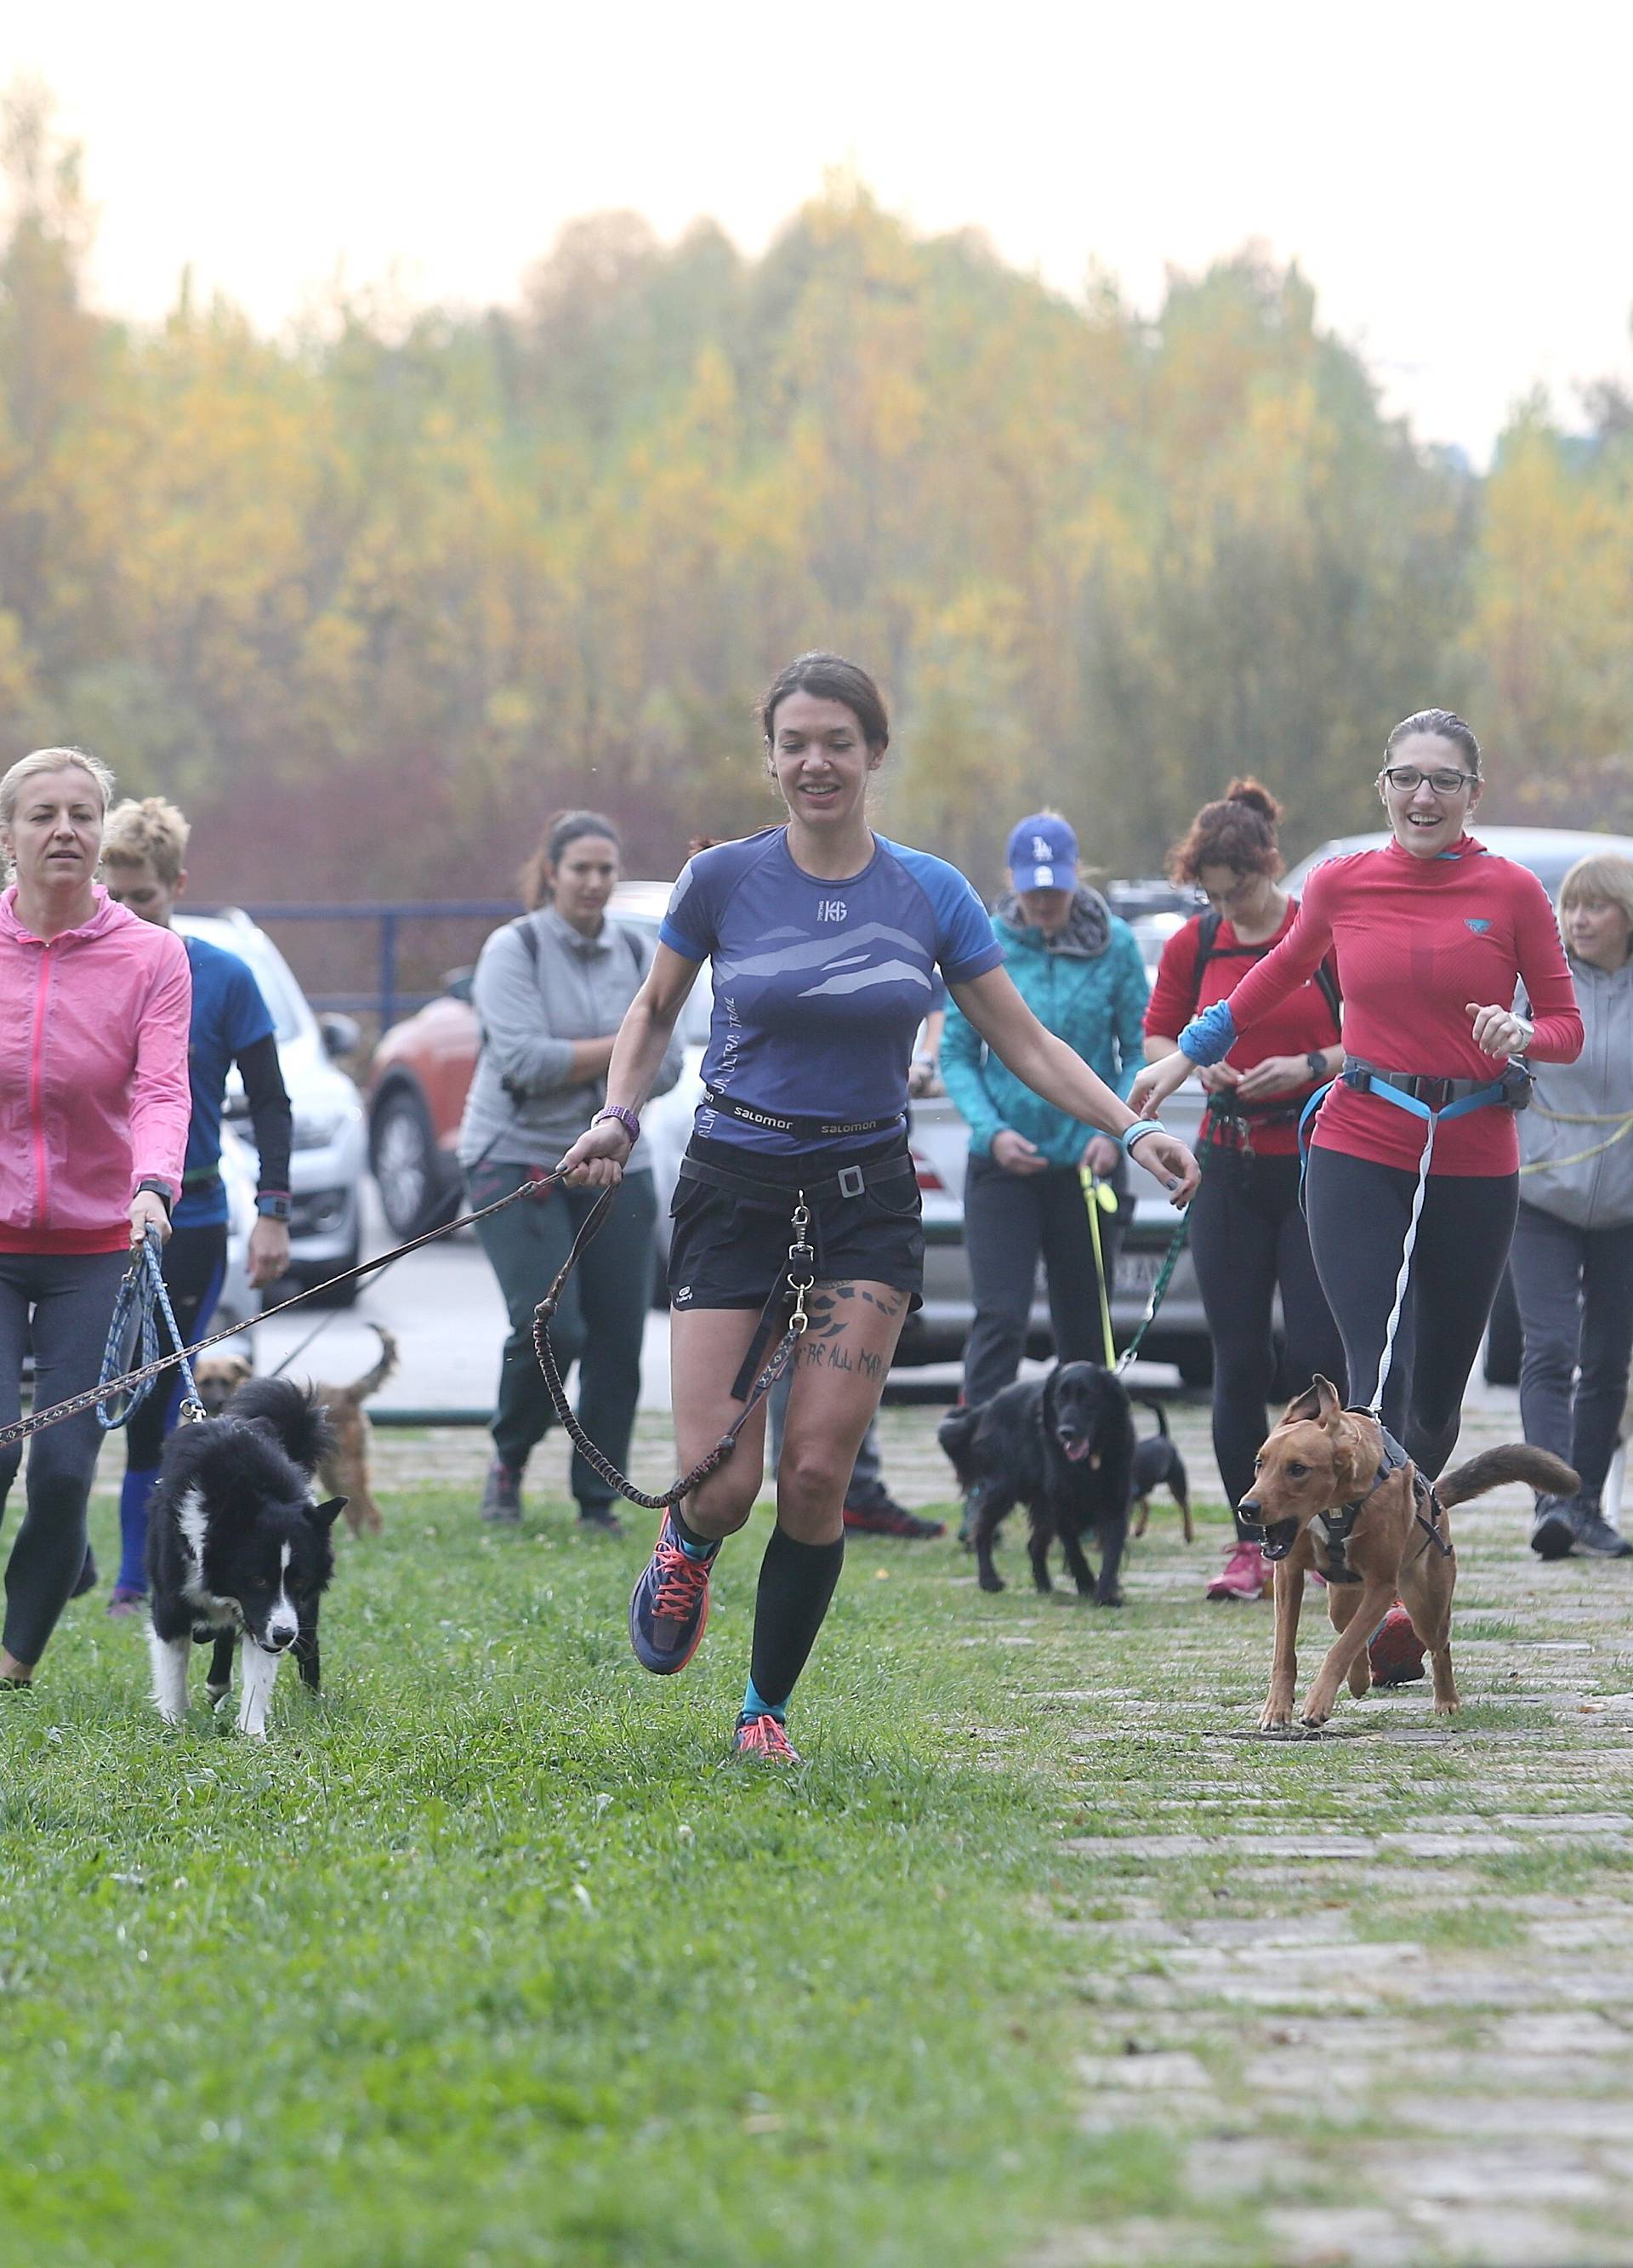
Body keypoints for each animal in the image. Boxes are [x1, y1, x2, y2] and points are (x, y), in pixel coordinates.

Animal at [147, 1360, 351, 1732]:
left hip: (303, 1615)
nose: (284, 1635)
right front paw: (174, 1724)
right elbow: (172, 1668)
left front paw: (252, 1733)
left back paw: (311, 1701)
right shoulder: (171, 1601)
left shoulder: (274, 1614)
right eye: (257, 1578)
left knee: (306, 1644)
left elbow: (259, 1672)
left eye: (300, 1580)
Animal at [188, 1324, 395, 1533]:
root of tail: (347, 1392)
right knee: (355, 1511)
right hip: (332, 1474)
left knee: (371, 1512)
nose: (219, 1401)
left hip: (343, 1469)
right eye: (205, 1382)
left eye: (225, 1381)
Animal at [943, 1351, 1134, 1605]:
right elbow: (1074, 1549)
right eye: (1060, 1398)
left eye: (1087, 1397)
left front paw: (1106, 1594)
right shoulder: (1061, 1504)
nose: (1066, 1433)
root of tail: (988, 1405)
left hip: (1039, 1503)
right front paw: (1086, 1583)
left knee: (1034, 1544)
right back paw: (989, 1580)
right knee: (982, 1530)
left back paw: (1045, 1586)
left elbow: (1112, 1551)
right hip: (1003, 1489)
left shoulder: (1115, 1501)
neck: (1088, 1460)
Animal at [1243, 1370, 1579, 1724]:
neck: (1337, 1506)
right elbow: (1287, 1650)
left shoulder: (1381, 1586)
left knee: (1438, 1645)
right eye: (1259, 1463)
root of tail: (1435, 1496)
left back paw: (1447, 1700)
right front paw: (1276, 1708)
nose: (1246, 1508)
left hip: (1426, 1604)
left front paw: (1318, 1702)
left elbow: (1342, 1648)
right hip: (1342, 1600)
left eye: (1298, 1469)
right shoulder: (1288, 1574)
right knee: (1348, 1628)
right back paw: (1360, 1678)